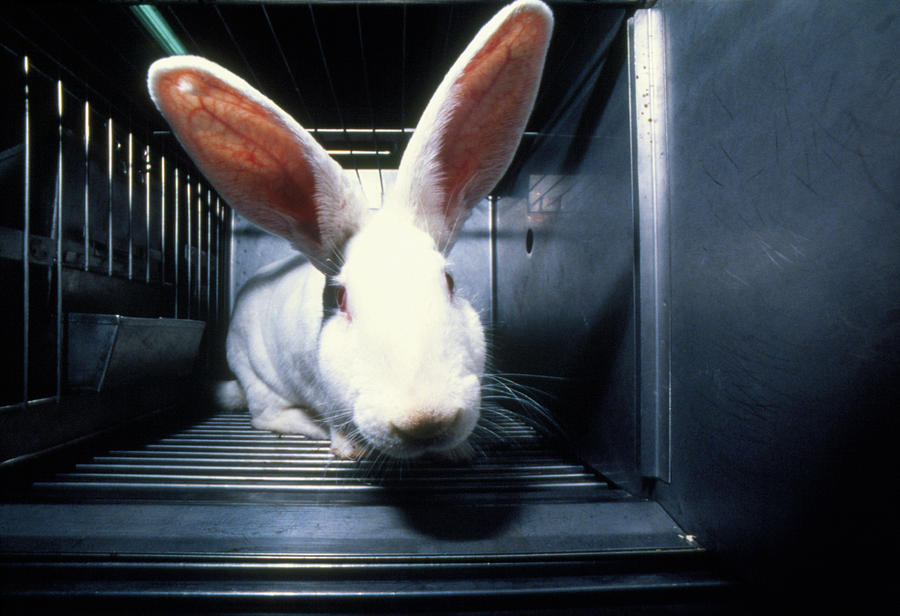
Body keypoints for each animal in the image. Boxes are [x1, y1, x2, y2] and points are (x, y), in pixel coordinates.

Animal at [147, 0, 553, 459]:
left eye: (450, 282)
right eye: (340, 298)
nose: (426, 421)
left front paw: (458, 451)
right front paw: (349, 448)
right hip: (252, 371)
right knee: (264, 414)